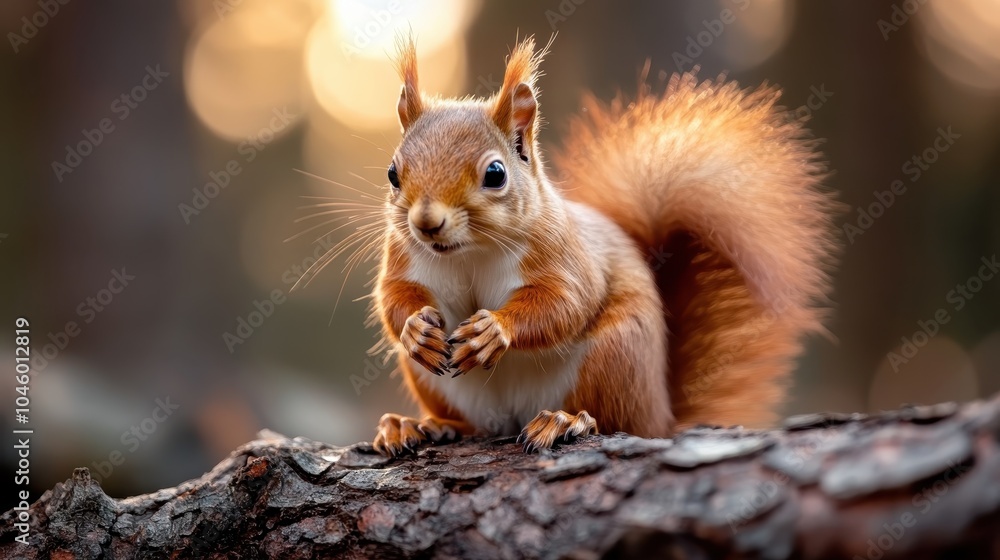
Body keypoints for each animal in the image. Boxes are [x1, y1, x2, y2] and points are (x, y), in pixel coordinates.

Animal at [369, 36, 837, 457]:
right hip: (434, 382)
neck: (470, 253)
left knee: (609, 418)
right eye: (393, 173)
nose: (426, 223)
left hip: (613, 357)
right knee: (469, 424)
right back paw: (419, 425)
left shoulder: (563, 254)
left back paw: (565, 421)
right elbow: (393, 297)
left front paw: (494, 330)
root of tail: (660, 414)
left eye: (496, 174)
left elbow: (566, 302)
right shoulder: (403, 256)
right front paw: (415, 330)